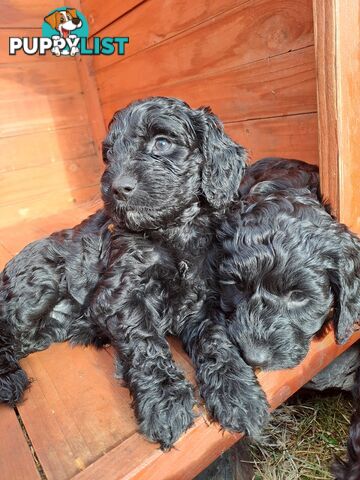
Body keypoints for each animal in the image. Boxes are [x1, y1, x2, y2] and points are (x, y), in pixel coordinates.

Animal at [0, 96, 268, 450]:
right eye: (109, 154)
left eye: (162, 143)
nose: (117, 189)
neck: (171, 231)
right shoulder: (118, 295)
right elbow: (145, 342)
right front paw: (166, 403)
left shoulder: (201, 300)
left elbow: (216, 340)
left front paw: (238, 392)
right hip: (34, 293)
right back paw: (7, 380)